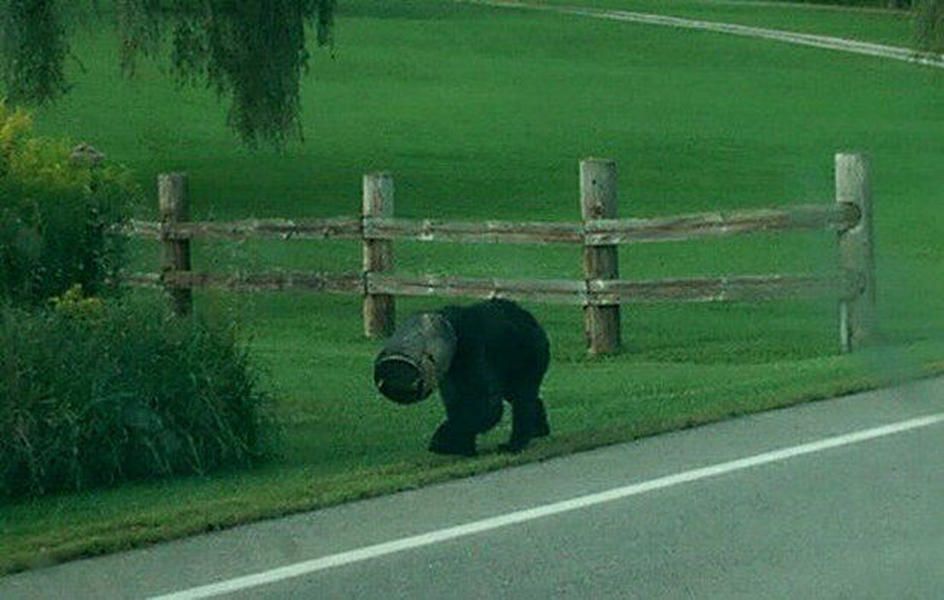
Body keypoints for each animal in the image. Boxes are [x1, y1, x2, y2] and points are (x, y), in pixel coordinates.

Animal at [376, 298, 548, 458]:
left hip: (529, 354)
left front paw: (445, 439)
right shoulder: (449, 369)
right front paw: (464, 446)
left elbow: (485, 403)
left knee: (522, 398)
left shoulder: (472, 347)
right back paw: (539, 428)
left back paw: (515, 443)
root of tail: (530, 318)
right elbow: (457, 399)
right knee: (517, 395)